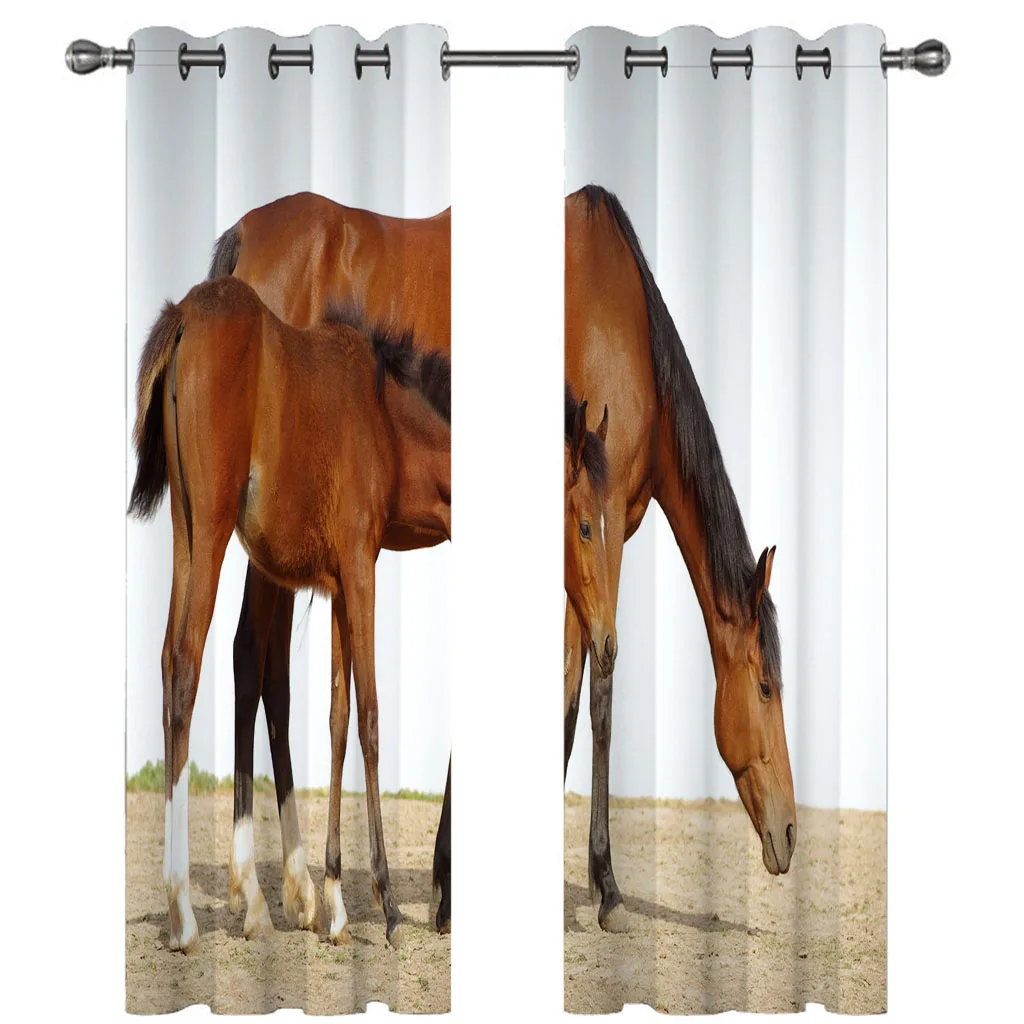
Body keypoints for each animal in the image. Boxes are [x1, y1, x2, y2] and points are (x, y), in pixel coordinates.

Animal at [128, 275, 451, 952]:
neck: (384, 418)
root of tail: (184, 315)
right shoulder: (361, 569)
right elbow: (370, 716)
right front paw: (384, 906)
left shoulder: (337, 586)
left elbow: (334, 718)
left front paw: (335, 904)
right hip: (214, 529)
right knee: (189, 663)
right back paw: (184, 911)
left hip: (185, 530)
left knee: (171, 660)